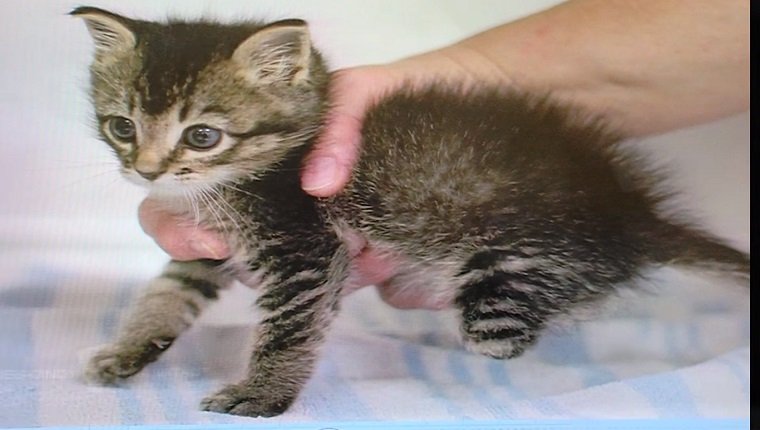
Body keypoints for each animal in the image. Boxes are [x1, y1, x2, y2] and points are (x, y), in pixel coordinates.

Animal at [72, 5, 748, 416]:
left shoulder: (303, 246)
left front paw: (262, 395)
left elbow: (289, 328)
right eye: (122, 126)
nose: (147, 171)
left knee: (509, 336)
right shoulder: (207, 248)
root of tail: (630, 209)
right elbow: (167, 292)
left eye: (203, 136)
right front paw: (129, 352)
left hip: (510, 271)